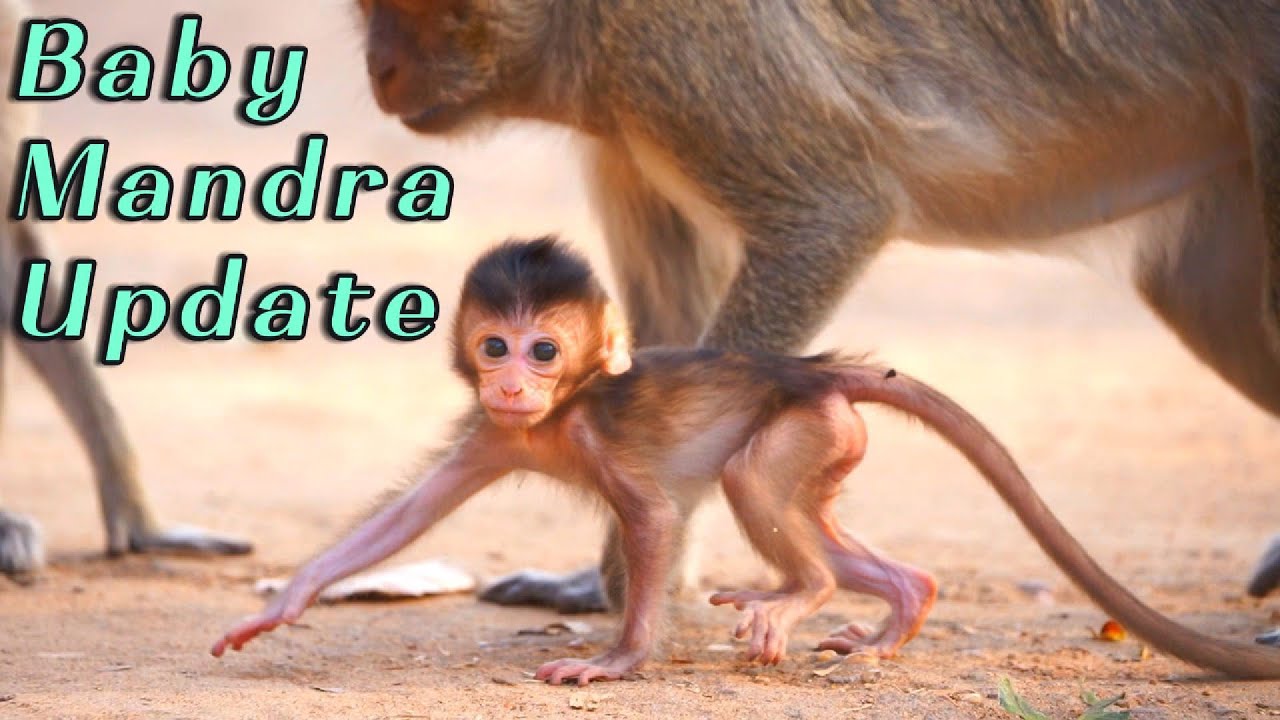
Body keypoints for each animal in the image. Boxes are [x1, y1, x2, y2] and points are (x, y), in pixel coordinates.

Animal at [211, 238, 1280, 684]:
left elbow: (651, 520)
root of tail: (811, 368)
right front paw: (281, 605)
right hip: (829, 440)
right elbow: (406, 517)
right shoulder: (491, 434)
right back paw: (895, 612)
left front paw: (619, 661)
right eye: (494, 347)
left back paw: (801, 593)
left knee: (751, 484)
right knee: (843, 535)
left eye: (544, 349)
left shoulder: (589, 435)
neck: (556, 415)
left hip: (804, 425)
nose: (513, 381)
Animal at [354, 0, 1280, 619]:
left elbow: (828, 216)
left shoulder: (679, 47)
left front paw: (635, 572)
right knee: (1208, 301)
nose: (379, 71)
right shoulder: (629, 109)